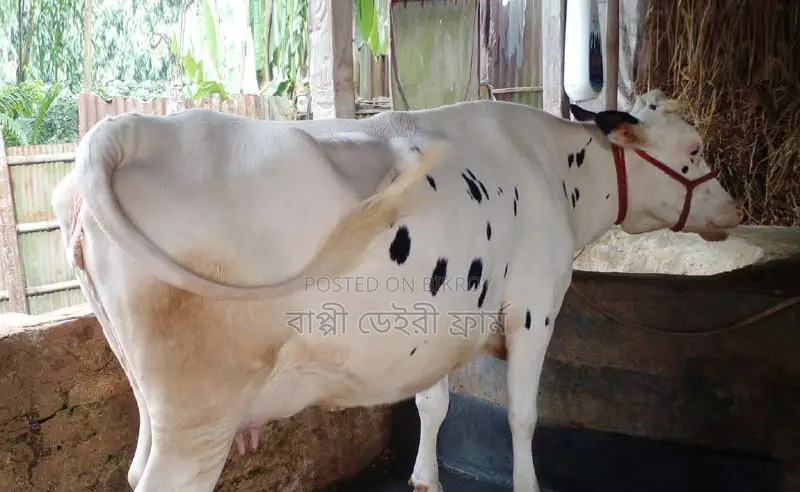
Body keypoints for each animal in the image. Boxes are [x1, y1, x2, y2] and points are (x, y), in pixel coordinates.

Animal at [52, 89, 741, 492]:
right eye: (694, 147)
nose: (733, 209)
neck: (552, 169)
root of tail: (130, 130)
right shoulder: (535, 308)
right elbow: (522, 417)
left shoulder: (436, 325)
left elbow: (431, 404)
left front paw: (424, 479)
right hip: (201, 408)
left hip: (153, 397)